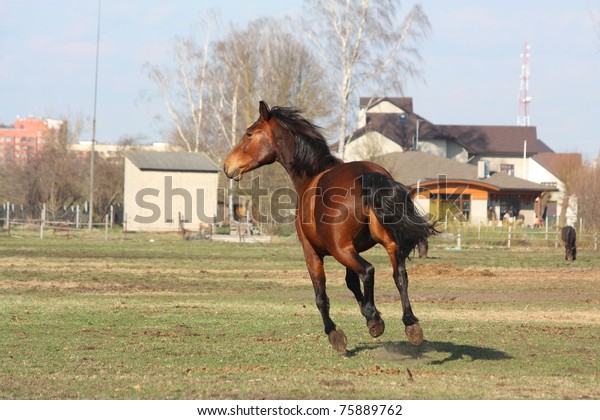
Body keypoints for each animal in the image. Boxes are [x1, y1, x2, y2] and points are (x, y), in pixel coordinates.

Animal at [221, 101, 436, 352]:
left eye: (249, 134)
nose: (228, 165)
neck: (311, 175)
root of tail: (367, 177)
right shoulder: (352, 248)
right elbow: (351, 282)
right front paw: (366, 314)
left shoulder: (313, 253)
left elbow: (321, 295)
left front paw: (336, 333)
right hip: (388, 245)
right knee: (399, 275)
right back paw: (410, 323)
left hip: (342, 250)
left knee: (368, 271)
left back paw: (375, 319)